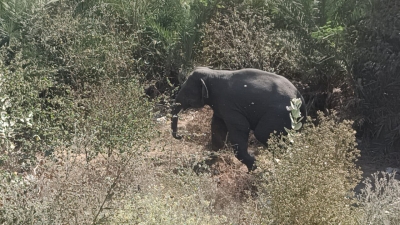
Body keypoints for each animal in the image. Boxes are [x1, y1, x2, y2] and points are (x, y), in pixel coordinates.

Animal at [170, 67, 306, 171]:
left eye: (187, 92)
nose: (180, 136)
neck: (213, 73)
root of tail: (300, 97)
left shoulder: (229, 105)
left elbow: (240, 129)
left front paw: (253, 168)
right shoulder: (220, 107)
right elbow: (217, 129)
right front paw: (207, 163)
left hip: (279, 114)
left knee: (262, 133)